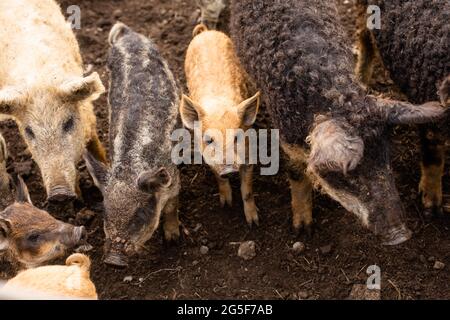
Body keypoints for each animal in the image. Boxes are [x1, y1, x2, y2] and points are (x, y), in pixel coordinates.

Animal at [85, 23, 180, 268]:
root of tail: (128, 35)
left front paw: (173, 240)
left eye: (139, 214)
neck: (129, 170)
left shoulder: (174, 180)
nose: (113, 260)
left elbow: (172, 208)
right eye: (105, 212)